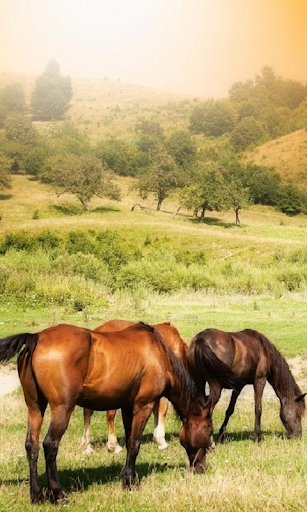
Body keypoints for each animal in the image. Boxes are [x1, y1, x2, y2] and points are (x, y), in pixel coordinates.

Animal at [81, 318, 188, 454]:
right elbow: (162, 409)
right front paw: (161, 440)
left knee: (88, 411)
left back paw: (87, 446)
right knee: (109, 414)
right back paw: (113, 445)